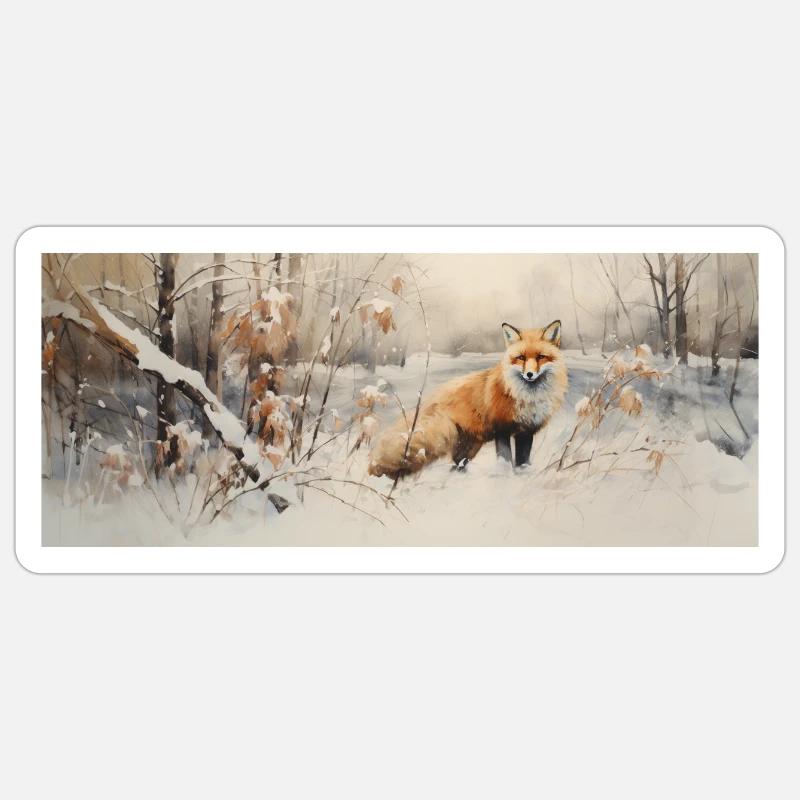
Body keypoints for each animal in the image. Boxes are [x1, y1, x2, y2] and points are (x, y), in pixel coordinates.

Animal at [368, 320, 568, 479]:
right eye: (521, 358)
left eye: (541, 357)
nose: (529, 374)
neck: (528, 398)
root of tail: (430, 399)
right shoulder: (502, 428)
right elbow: (505, 459)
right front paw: (504, 476)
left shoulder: (526, 431)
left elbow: (523, 461)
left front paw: (523, 474)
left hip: (469, 446)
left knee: (457, 464)